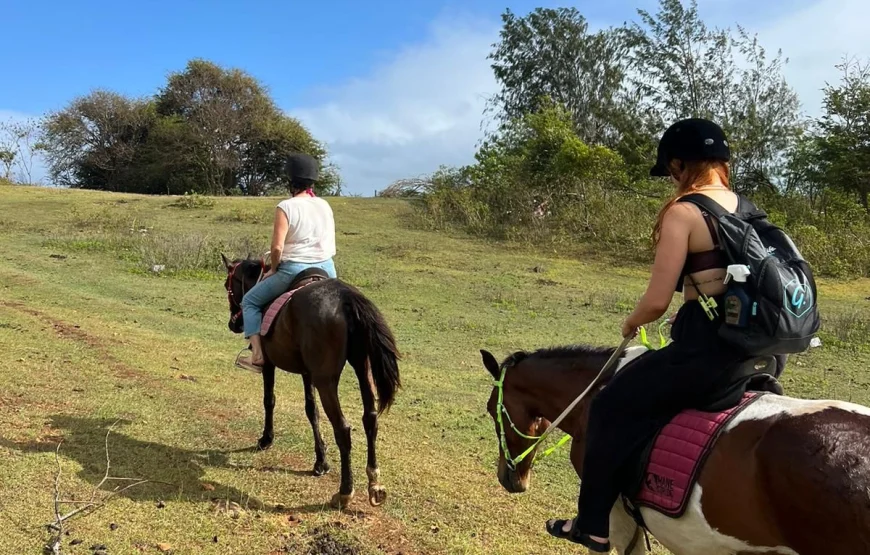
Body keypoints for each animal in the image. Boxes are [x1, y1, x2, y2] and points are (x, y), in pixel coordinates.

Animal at [222, 255, 401, 509]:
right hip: (361, 368)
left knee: (343, 428)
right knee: (370, 419)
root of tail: (346, 298)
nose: (233, 324)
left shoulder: (270, 364)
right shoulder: (308, 372)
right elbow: (311, 410)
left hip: (326, 381)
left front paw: (266, 439)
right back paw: (374, 483)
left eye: (227, 285)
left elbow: (269, 400)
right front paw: (321, 461)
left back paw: (345, 492)